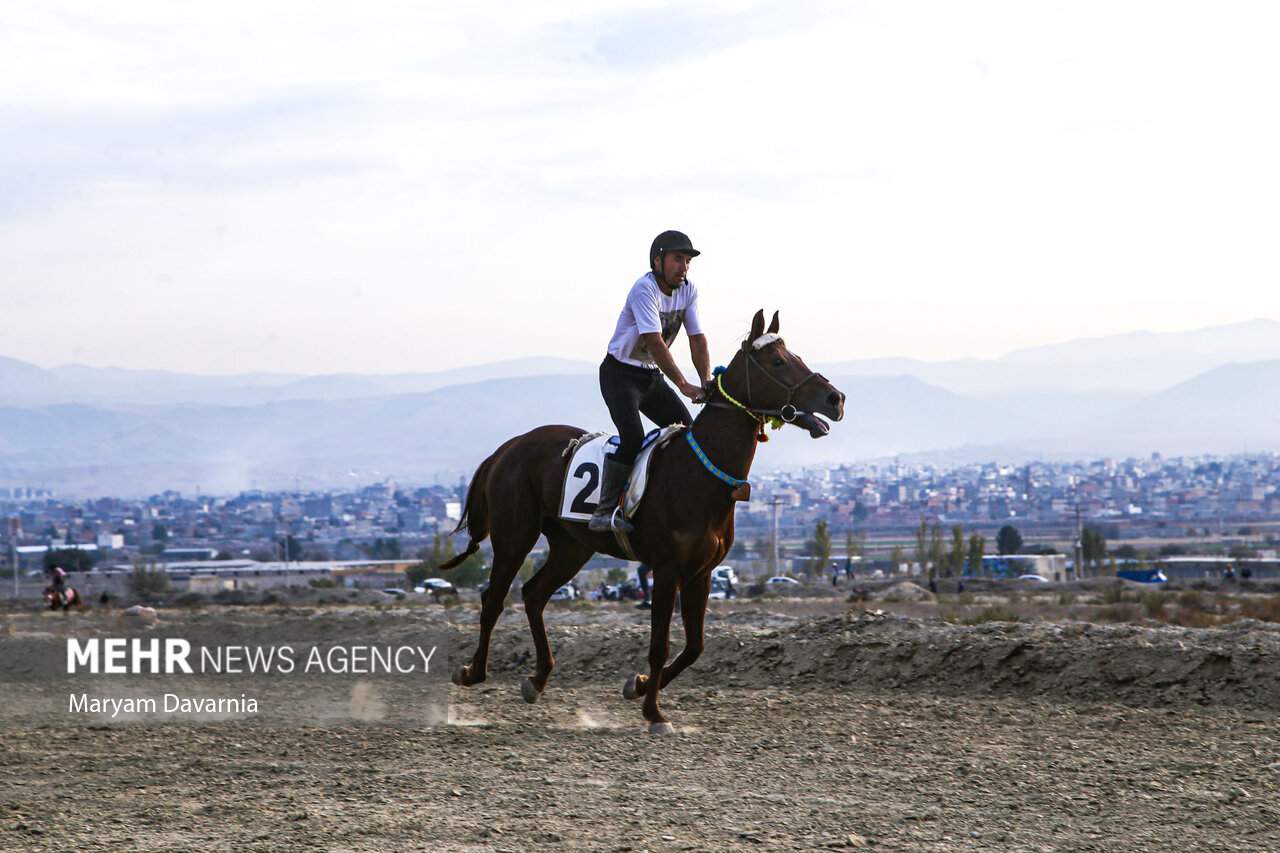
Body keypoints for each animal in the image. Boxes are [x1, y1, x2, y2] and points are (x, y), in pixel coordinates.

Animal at [445, 308, 844, 727]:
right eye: (778, 362)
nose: (835, 399)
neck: (701, 474)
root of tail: (508, 448)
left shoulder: (701, 574)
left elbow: (695, 647)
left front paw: (637, 686)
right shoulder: (667, 572)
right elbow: (660, 645)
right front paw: (653, 711)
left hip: (572, 547)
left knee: (534, 594)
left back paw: (537, 680)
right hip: (514, 538)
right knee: (494, 599)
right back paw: (472, 672)